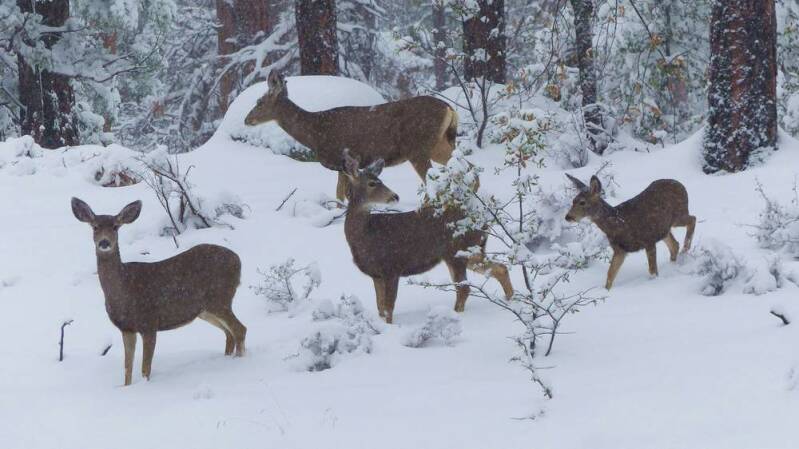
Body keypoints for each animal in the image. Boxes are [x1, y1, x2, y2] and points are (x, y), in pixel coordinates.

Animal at [71, 198, 247, 386]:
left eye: (115, 226)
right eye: (95, 226)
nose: (104, 243)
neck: (124, 289)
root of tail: (238, 260)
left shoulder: (149, 323)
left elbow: (145, 368)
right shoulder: (127, 328)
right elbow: (127, 368)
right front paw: (127, 387)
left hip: (219, 298)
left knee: (240, 329)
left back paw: (240, 362)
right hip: (205, 310)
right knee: (229, 333)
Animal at [244, 71, 459, 201]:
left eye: (259, 102)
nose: (246, 119)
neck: (315, 133)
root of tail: (450, 108)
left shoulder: (344, 159)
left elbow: (343, 196)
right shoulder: (343, 167)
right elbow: (339, 195)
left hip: (418, 147)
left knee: (432, 180)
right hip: (441, 144)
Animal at [341, 150, 513, 324]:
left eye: (380, 181)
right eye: (372, 183)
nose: (395, 196)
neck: (366, 236)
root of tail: (483, 221)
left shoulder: (392, 267)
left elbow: (389, 307)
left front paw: (390, 326)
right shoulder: (376, 274)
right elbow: (380, 308)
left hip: (457, 251)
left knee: (464, 288)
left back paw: (456, 314)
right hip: (471, 251)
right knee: (500, 268)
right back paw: (509, 299)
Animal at [564, 175, 696, 290]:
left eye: (582, 202)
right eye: (573, 201)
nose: (568, 217)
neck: (618, 223)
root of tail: (680, 184)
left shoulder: (648, 240)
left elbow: (652, 271)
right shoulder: (620, 249)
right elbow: (610, 275)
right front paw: (605, 291)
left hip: (678, 215)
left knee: (693, 219)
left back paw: (685, 250)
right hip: (663, 229)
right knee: (674, 245)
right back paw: (675, 263)